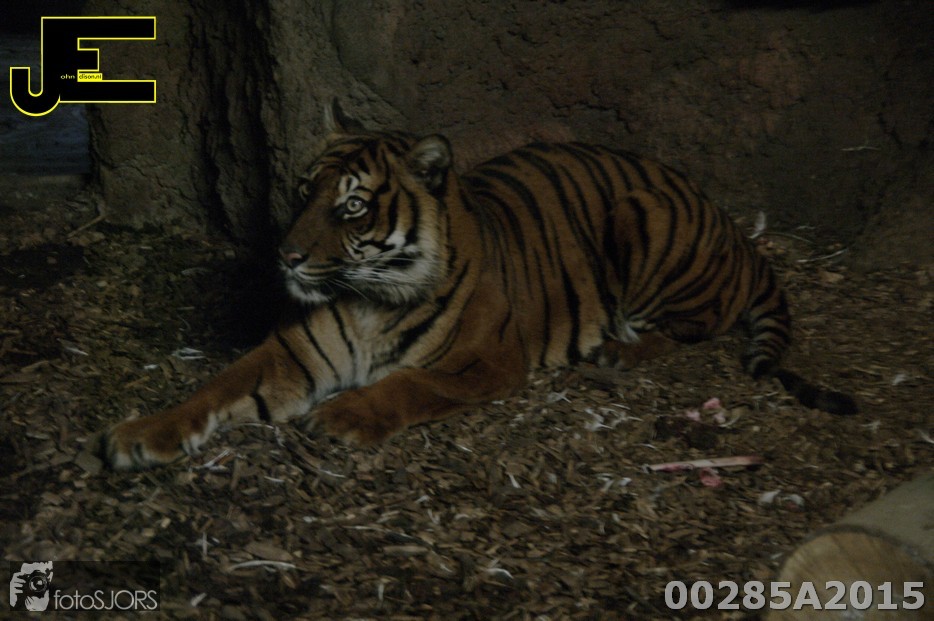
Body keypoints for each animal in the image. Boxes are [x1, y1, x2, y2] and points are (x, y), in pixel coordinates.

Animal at [101, 100, 857, 470]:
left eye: (352, 206)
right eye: (301, 190)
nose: (286, 257)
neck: (370, 298)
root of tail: (730, 223)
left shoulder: (483, 361)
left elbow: (406, 384)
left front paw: (342, 417)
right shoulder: (292, 354)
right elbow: (217, 387)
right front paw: (139, 436)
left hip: (640, 218)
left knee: (691, 327)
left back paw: (618, 351)